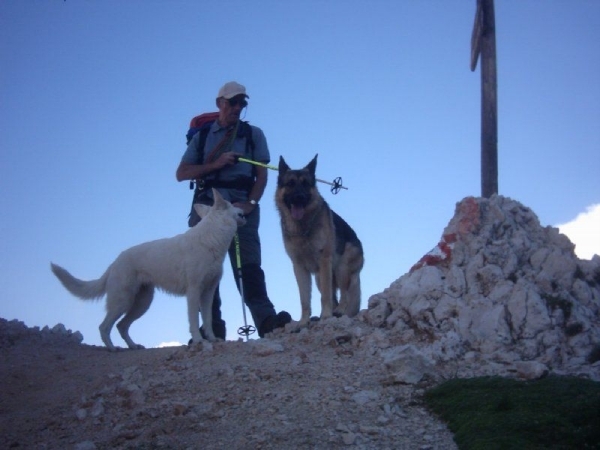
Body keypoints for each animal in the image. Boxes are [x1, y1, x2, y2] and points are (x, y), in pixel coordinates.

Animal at [49, 188, 244, 350]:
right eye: (231, 203)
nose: (244, 208)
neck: (212, 239)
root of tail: (114, 263)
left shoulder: (208, 293)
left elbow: (208, 320)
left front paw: (212, 339)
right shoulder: (194, 291)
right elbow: (195, 322)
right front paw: (198, 341)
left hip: (141, 304)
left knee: (121, 326)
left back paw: (133, 346)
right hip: (123, 301)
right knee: (104, 326)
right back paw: (112, 348)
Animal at [274, 155, 364, 326]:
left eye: (306, 184)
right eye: (290, 184)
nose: (300, 197)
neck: (302, 228)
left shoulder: (324, 261)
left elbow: (326, 297)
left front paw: (326, 316)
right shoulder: (299, 267)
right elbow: (304, 299)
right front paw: (303, 321)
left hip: (341, 268)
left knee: (343, 295)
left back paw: (338, 311)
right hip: (318, 278)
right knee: (334, 296)